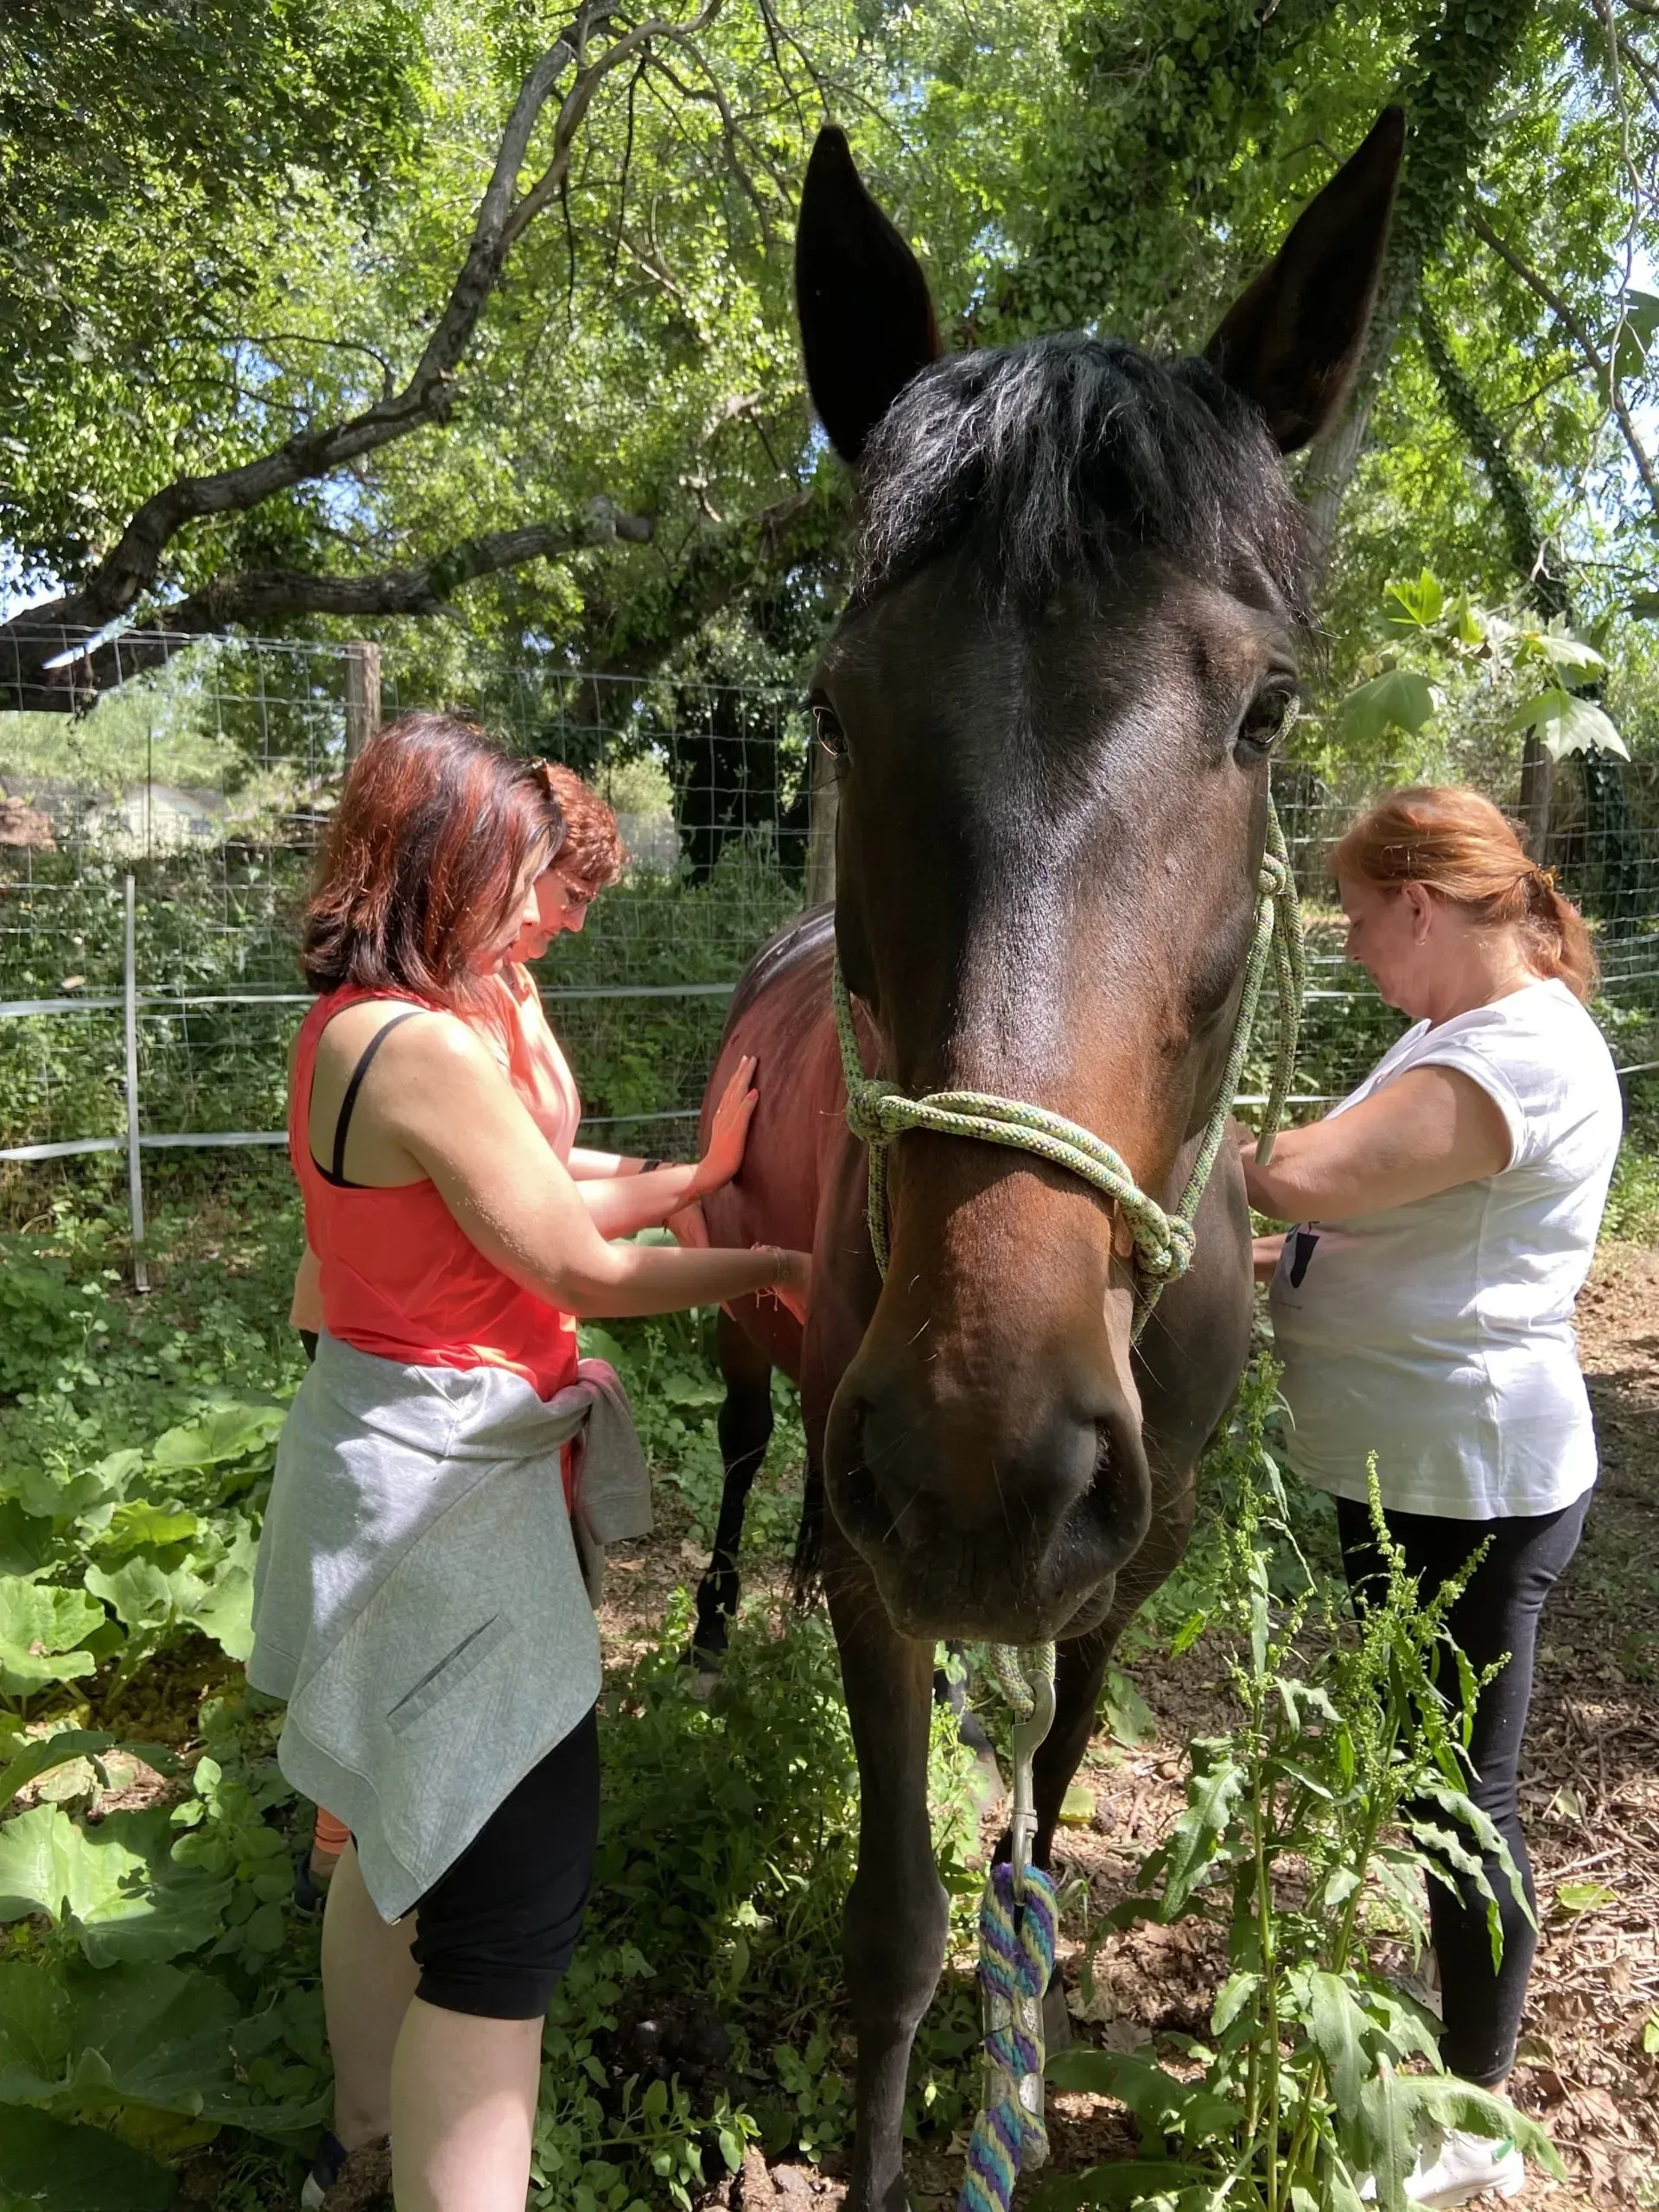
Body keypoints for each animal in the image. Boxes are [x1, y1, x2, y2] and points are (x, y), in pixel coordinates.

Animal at [691, 112, 1404, 2212]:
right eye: (836, 706)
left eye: (1264, 710)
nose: (980, 1460)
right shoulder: (883, 1561)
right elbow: (902, 1929)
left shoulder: (1118, 1572)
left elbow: (1042, 1833)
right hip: (759, 1366)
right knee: (743, 1458)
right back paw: (709, 1629)